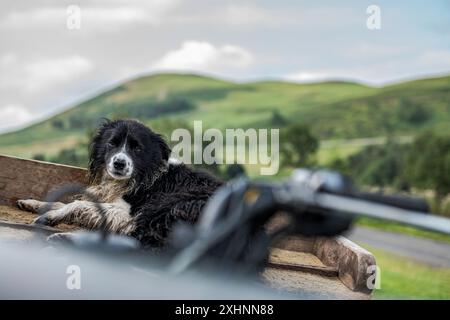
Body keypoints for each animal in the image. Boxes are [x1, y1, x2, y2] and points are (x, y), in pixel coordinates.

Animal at [18, 120, 222, 248]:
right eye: (112, 143)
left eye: (137, 148)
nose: (119, 163)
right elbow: (66, 203)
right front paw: (34, 204)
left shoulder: (128, 216)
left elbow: (78, 204)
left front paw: (51, 216)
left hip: (168, 206)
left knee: (144, 244)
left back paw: (64, 239)